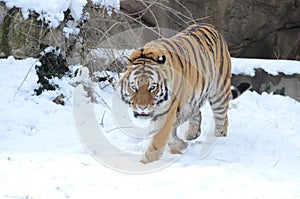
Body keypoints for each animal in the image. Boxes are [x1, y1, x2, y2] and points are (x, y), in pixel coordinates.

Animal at [116, 23, 231, 163]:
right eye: (134, 87)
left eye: (152, 87)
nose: (142, 107)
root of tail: (209, 25)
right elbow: (169, 135)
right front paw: (179, 146)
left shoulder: (166, 112)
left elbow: (157, 141)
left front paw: (144, 164)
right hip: (190, 99)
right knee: (196, 112)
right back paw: (192, 134)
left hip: (219, 92)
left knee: (222, 118)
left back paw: (218, 138)